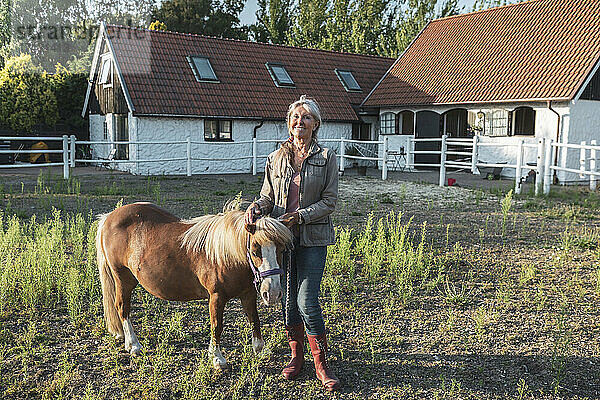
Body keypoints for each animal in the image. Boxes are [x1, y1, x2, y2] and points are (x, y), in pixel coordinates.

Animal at [95, 202, 292, 370]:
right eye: (254, 250)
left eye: (282, 249)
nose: (273, 292)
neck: (227, 255)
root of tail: (109, 217)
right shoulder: (216, 297)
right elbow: (217, 325)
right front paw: (217, 358)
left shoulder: (248, 294)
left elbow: (254, 320)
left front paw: (260, 349)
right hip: (123, 278)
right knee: (122, 307)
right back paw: (134, 345)